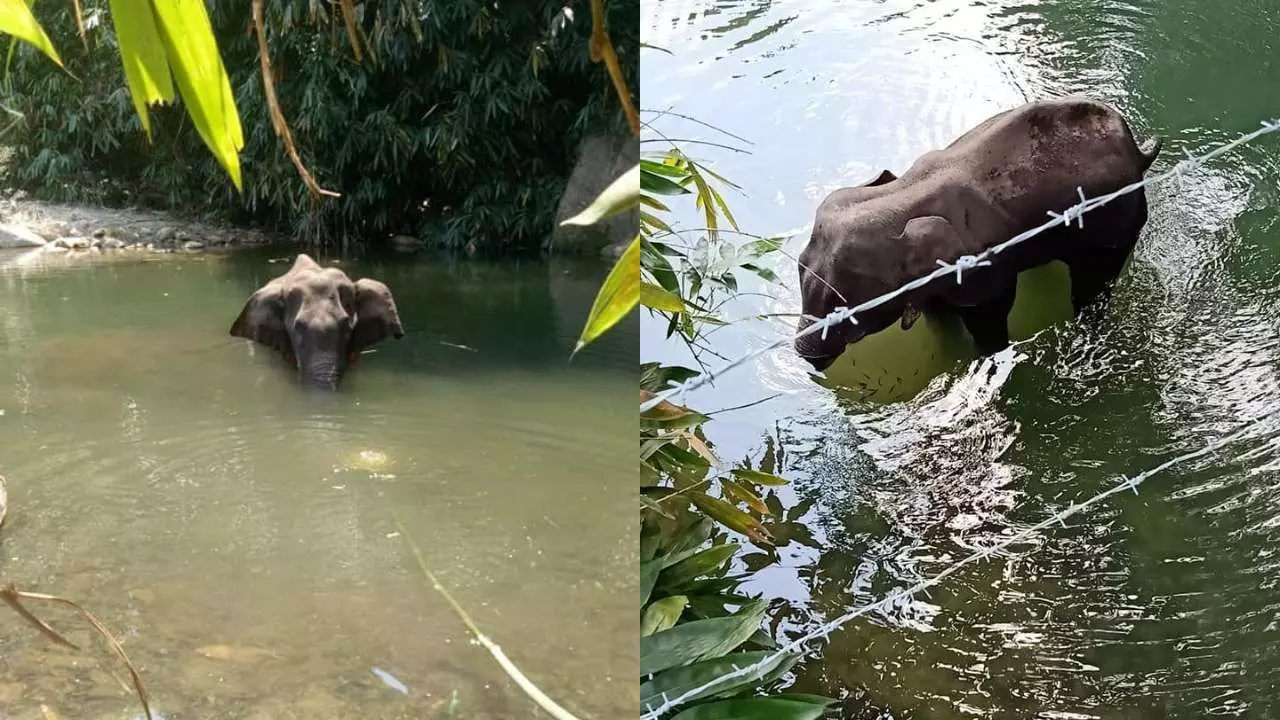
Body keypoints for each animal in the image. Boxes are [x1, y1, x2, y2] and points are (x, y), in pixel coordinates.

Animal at [788, 96, 1162, 368]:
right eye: (800, 265)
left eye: (845, 308)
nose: (808, 358)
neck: (904, 194)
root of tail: (1138, 151)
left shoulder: (982, 268)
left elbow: (991, 315)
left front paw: (984, 358)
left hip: (1117, 220)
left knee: (1093, 283)